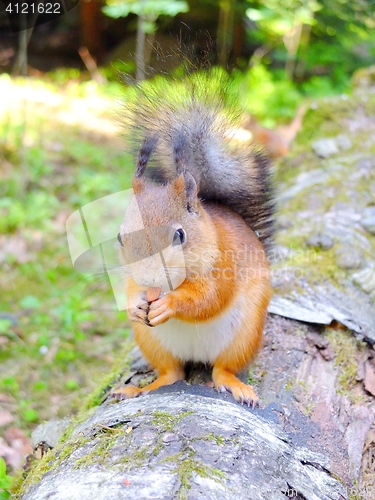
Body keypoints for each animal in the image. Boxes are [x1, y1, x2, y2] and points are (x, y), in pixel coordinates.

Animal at [113, 79, 274, 406]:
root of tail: (196, 354)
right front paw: (135, 304)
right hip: (152, 342)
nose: (150, 280)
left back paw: (235, 385)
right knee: (171, 372)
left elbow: (209, 297)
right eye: (120, 237)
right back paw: (140, 388)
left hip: (244, 335)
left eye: (180, 235)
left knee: (222, 369)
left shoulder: (224, 262)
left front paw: (170, 304)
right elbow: (131, 287)